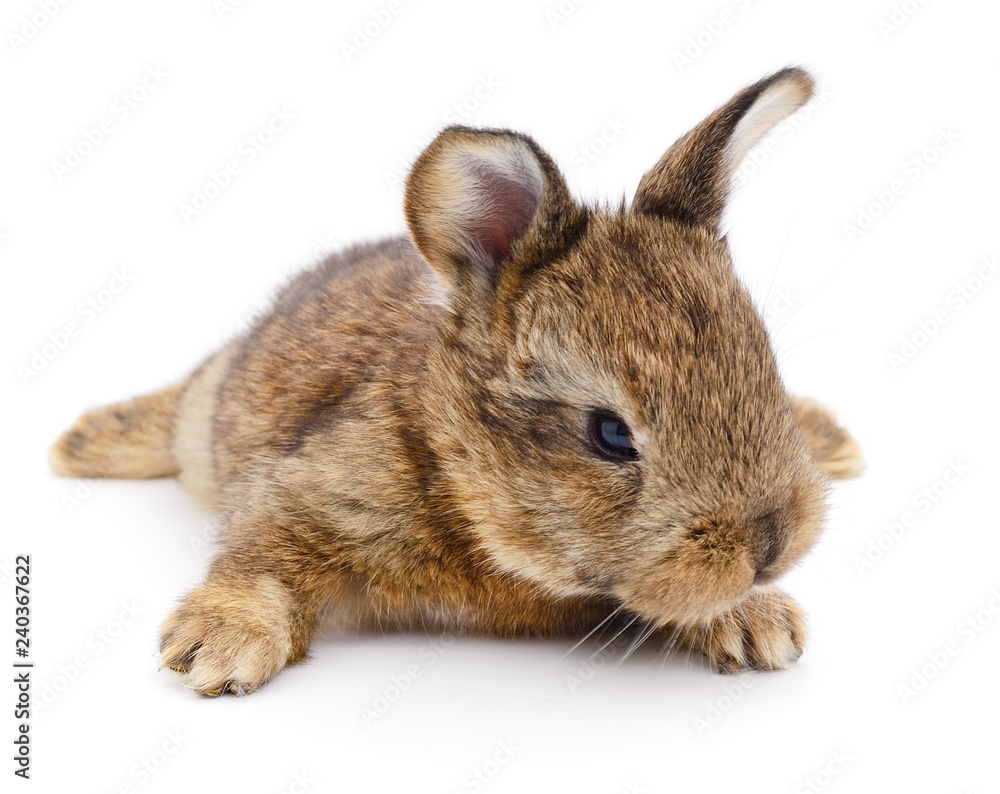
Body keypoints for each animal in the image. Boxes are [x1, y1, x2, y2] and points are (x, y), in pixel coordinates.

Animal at [50, 66, 863, 697]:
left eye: (763, 367)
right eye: (609, 434)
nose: (771, 545)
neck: (455, 468)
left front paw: (757, 622)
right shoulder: (302, 494)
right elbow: (259, 559)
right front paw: (217, 649)